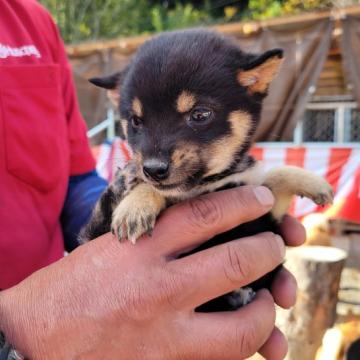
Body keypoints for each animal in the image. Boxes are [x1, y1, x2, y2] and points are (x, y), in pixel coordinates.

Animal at [81, 30, 332, 312]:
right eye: (135, 121)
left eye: (200, 114)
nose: (153, 169)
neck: (210, 183)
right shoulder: (93, 232)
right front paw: (135, 202)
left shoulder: (267, 216)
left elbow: (274, 178)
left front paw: (314, 183)